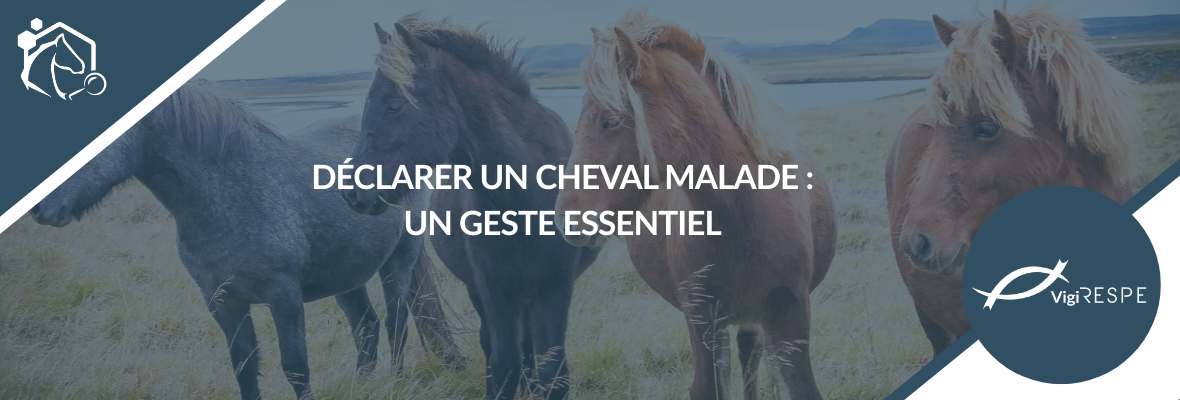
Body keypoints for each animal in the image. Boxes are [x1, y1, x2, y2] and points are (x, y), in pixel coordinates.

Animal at [28, 83, 467, 400]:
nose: (39, 209)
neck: (229, 193)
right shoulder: (222, 301)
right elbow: (245, 370)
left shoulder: (283, 294)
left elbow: (296, 367)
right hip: (347, 275)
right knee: (367, 327)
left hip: (399, 261)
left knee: (396, 324)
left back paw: (395, 384)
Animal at [339, 15, 600, 400]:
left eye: (395, 105)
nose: (354, 194)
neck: (524, 198)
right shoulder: (493, 287)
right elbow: (503, 364)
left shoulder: (555, 285)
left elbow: (552, 371)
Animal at [554, 11, 837, 400]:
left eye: (611, 120)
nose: (566, 219)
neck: (745, 213)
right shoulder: (701, 315)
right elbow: (708, 385)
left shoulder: (792, 313)